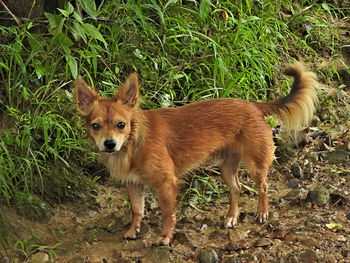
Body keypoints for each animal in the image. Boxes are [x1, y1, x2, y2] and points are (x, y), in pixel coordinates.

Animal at [75, 64, 318, 245]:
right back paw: (231, 217)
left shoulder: (167, 184)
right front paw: (133, 230)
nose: (109, 144)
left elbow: (167, 214)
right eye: (95, 126)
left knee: (264, 186)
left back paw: (262, 213)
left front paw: (165, 237)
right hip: (227, 168)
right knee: (237, 188)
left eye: (121, 124)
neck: (132, 143)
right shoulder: (134, 184)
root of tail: (254, 106)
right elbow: (137, 210)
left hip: (255, 164)